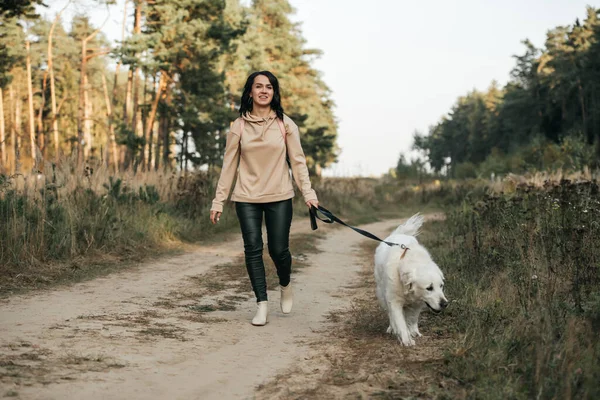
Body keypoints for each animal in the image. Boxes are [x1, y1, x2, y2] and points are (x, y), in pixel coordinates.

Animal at [372, 212, 448, 346]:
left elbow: (412, 319)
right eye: (429, 288)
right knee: (390, 314)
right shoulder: (394, 301)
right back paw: (392, 328)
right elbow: (400, 321)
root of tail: (397, 234)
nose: (445, 304)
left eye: (441, 286)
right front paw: (406, 339)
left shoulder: (417, 303)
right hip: (382, 292)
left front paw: (413, 332)